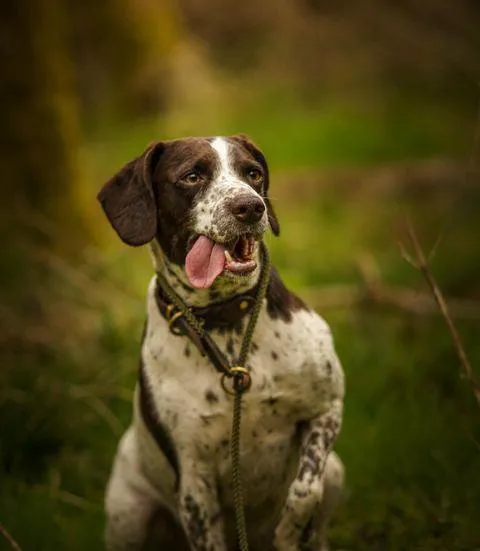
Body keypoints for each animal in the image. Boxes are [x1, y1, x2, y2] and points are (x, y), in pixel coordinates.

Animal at [98, 135, 344, 551]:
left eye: (253, 173)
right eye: (192, 176)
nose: (251, 206)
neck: (225, 323)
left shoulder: (327, 407)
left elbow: (304, 491)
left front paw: (290, 532)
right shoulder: (193, 483)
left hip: (337, 473)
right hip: (127, 515)